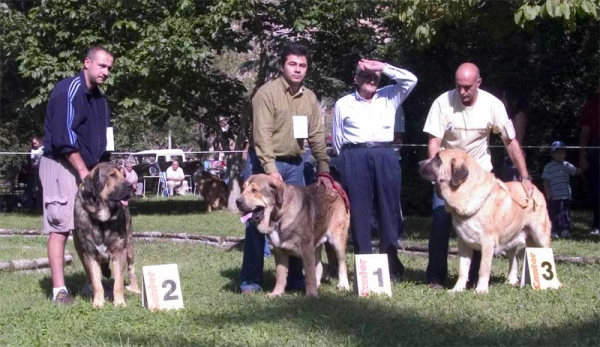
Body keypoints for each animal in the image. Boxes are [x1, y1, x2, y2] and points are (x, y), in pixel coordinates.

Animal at [72, 162, 141, 308]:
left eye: (124, 175)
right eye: (112, 175)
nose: (131, 186)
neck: (102, 220)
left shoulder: (119, 252)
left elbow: (118, 283)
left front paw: (119, 303)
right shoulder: (90, 253)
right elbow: (96, 282)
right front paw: (98, 302)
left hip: (129, 246)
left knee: (131, 268)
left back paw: (135, 289)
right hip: (79, 248)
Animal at [418, 150, 552, 294]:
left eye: (438, 159)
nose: (419, 163)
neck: (465, 190)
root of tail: (536, 190)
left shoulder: (487, 242)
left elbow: (483, 268)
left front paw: (481, 289)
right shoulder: (463, 242)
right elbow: (463, 270)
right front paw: (457, 289)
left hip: (540, 236)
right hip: (510, 238)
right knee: (514, 258)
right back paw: (511, 280)